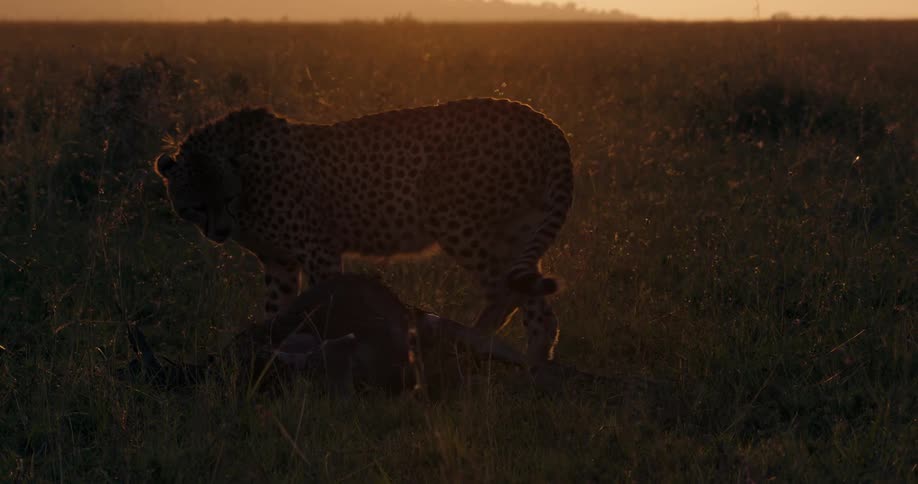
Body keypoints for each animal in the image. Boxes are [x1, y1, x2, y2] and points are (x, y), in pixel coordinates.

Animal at [154, 98, 573, 369]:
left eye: (226, 197)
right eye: (196, 205)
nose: (220, 231)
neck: (247, 180)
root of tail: (544, 121)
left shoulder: (318, 249)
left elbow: (321, 300)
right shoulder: (279, 262)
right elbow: (277, 309)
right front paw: (268, 347)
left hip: (458, 223)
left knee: (505, 289)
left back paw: (472, 339)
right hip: (517, 231)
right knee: (536, 304)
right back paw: (534, 364)